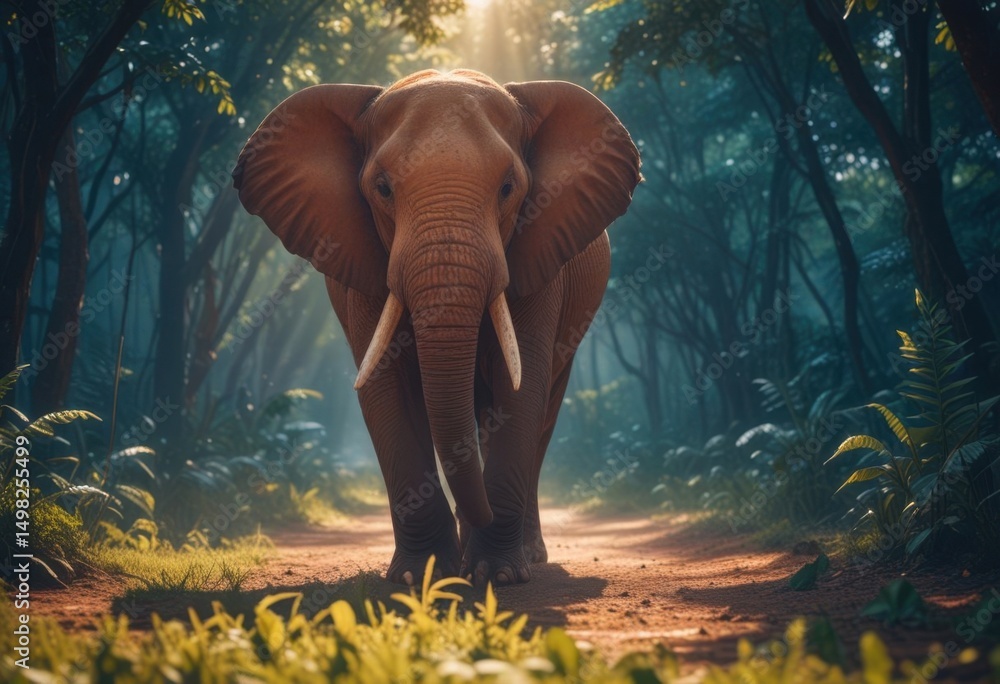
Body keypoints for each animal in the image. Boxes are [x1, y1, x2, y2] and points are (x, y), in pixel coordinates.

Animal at [233, 69, 640, 586]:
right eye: (382, 188)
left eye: (509, 187)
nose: (483, 520)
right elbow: (385, 391)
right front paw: (419, 576)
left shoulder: (539, 254)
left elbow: (521, 388)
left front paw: (495, 574)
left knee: (541, 409)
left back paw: (525, 554)